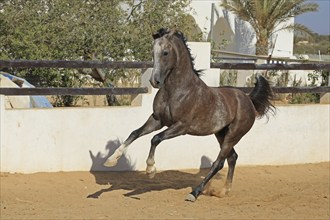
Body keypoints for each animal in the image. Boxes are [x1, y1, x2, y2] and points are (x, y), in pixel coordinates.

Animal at [104, 27, 274, 201]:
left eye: (165, 52)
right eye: (153, 52)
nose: (154, 81)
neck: (178, 90)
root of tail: (248, 99)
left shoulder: (181, 127)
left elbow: (155, 138)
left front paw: (150, 169)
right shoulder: (157, 120)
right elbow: (135, 133)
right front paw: (111, 160)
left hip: (233, 135)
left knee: (219, 162)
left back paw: (194, 193)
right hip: (221, 134)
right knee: (232, 157)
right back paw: (223, 191)